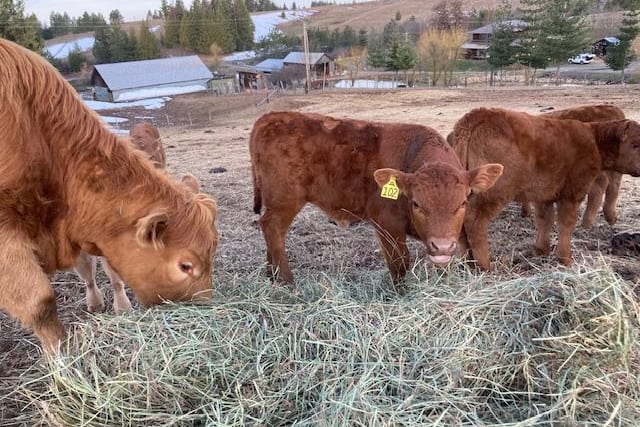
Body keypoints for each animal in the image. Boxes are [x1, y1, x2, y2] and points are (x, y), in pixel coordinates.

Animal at [249, 111, 503, 284]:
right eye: (416, 204)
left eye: (463, 202)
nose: (441, 246)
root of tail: (271, 117)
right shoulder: (386, 225)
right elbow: (400, 263)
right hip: (285, 201)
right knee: (272, 228)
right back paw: (286, 281)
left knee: (271, 231)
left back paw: (271, 276)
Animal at [451, 107, 640, 270]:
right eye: (635, 144)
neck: (594, 140)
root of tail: (475, 116)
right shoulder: (573, 192)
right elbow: (566, 223)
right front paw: (565, 258)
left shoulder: (543, 195)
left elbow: (545, 220)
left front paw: (542, 250)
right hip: (494, 192)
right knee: (474, 221)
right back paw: (485, 265)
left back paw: (468, 261)